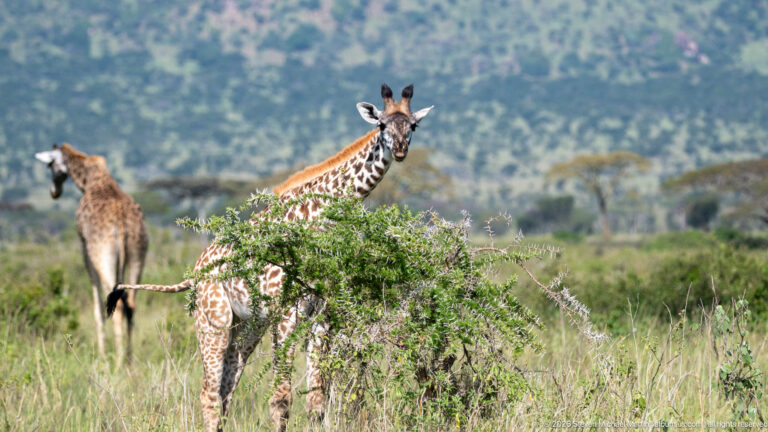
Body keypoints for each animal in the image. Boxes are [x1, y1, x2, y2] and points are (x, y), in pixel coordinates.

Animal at [35, 143, 148, 361]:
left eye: (50, 165)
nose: (54, 192)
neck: (89, 179)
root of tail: (122, 223)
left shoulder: (85, 249)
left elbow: (97, 308)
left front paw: (102, 356)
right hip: (138, 253)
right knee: (131, 303)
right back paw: (129, 359)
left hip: (103, 255)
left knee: (116, 304)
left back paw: (118, 361)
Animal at [107, 84, 433, 432]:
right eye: (382, 125)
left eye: (413, 126)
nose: (400, 150)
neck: (318, 220)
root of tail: (194, 273)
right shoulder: (285, 313)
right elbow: (281, 399)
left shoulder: (322, 315)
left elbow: (316, 401)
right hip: (213, 321)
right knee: (209, 394)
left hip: (248, 325)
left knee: (227, 390)